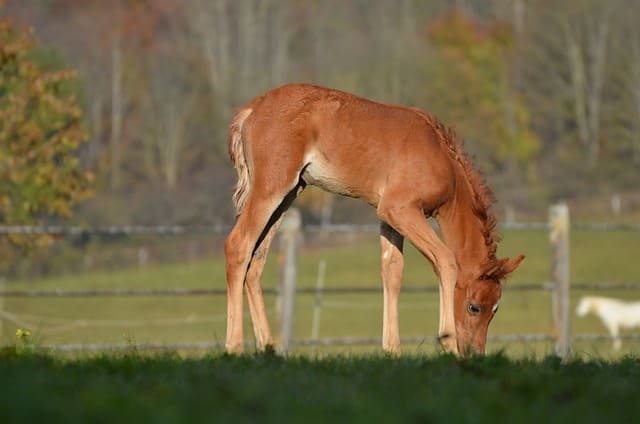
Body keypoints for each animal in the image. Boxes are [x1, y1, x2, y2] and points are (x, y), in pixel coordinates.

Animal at [224, 83, 524, 356]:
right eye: (474, 306)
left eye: (496, 309)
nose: (475, 353)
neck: (441, 159)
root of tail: (252, 109)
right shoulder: (399, 209)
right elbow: (446, 260)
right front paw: (448, 343)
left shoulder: (390, 218)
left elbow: (392, 271)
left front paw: (392, 350)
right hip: (272, 188)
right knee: (238, 245)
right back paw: (234, 346)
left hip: (289, 194)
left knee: (256, 260)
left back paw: (268, 348)